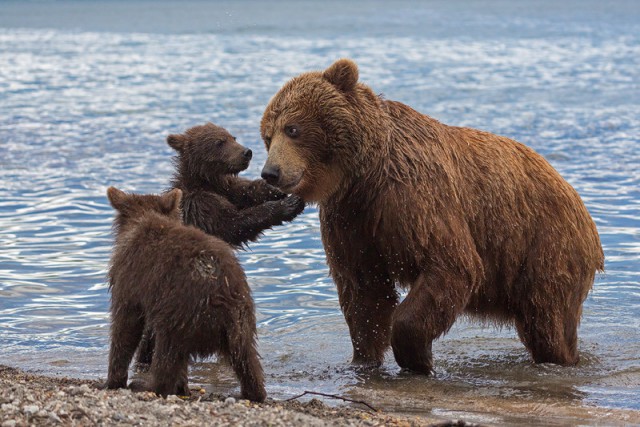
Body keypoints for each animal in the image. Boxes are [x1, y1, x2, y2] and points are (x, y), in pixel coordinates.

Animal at [260, 58, 604, 372]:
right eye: (267, 135)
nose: (270, 173)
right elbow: (364, 290)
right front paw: (364, 360)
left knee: (548, 322)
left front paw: (417, 357)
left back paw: (562, 359)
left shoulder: (413, 198)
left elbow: (451, 265)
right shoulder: (350, 218)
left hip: (544, 244)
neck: (365, 174)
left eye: (292, 129)